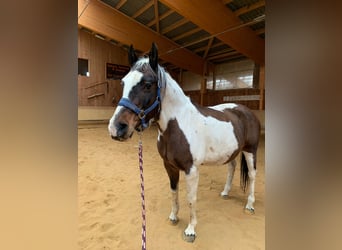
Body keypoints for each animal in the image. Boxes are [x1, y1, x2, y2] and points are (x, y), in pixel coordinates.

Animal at [108, 43, 260, 242]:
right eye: (123, 83)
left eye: (148, 84)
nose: (116, 128)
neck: (178, 125)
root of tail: (246, 110)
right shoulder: (169, 166)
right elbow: (174, 192)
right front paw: (173, 216)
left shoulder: (191, 169)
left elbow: (191, 198)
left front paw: (190, 230)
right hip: (231, 152)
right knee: (232, 168)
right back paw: (225, 193)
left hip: (250, 150)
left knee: (252, 175)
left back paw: (250, 205)